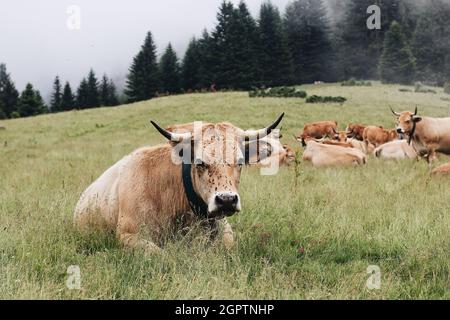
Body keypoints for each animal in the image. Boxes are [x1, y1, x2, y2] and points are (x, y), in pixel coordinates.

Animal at [74, 114, 284, 254]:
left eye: (240, 162)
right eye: (200, 162)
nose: (226, 200)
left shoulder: (225, 230)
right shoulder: (128, 235)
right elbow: (162, 255)